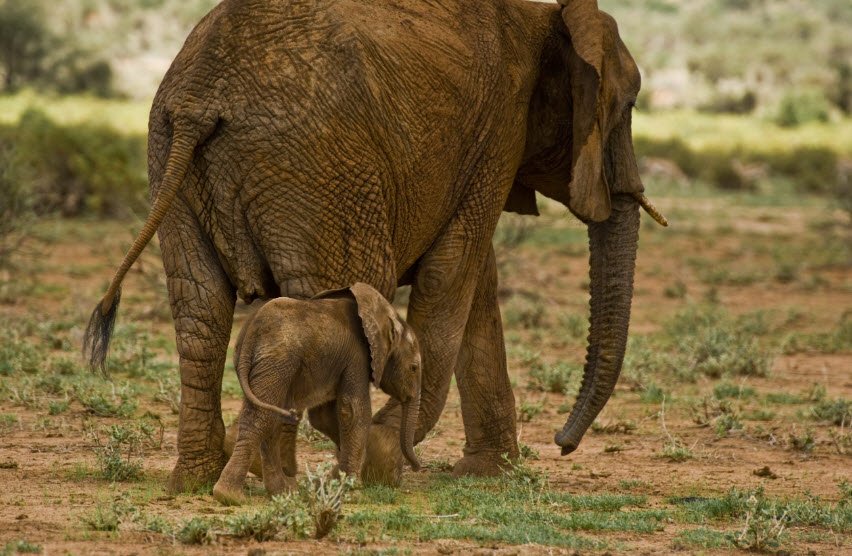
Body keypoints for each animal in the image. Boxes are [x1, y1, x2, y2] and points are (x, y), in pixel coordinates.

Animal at [212, 282, 421, 506]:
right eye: (414, 368)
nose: (416, 468)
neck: (384, 314)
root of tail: (252, 329)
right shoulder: (358, 356)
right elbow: (353, 411)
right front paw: (354, 492)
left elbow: (325, 417)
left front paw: (337, 478)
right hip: (277, 361)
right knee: (262, 417)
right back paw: (230, 496)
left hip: (262, 362)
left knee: (270, 416)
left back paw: (281, 493)